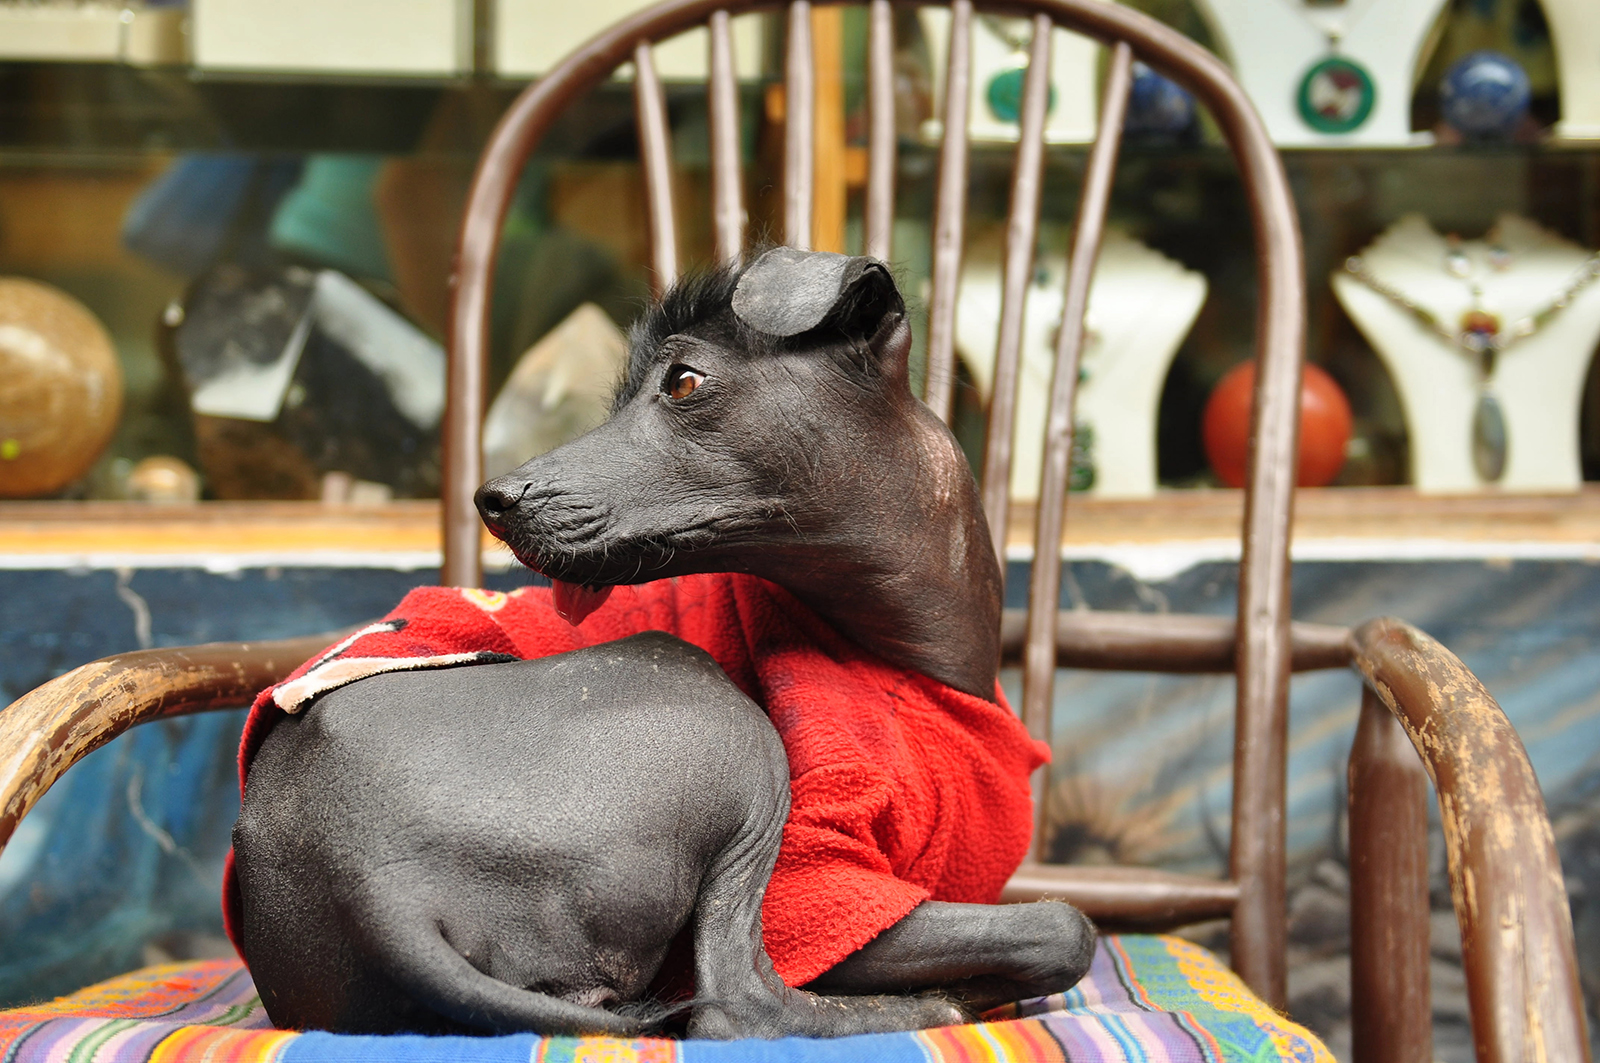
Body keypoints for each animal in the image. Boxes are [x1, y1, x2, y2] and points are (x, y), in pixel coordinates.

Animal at [232, 246, 1094, 1037]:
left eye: (682, 382)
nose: (494, 497)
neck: (919, 665)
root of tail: (372, 878)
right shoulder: (826, 882)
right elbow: (1064, 927)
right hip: (717, 712)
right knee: (734, 1006)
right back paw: (926, 1004)